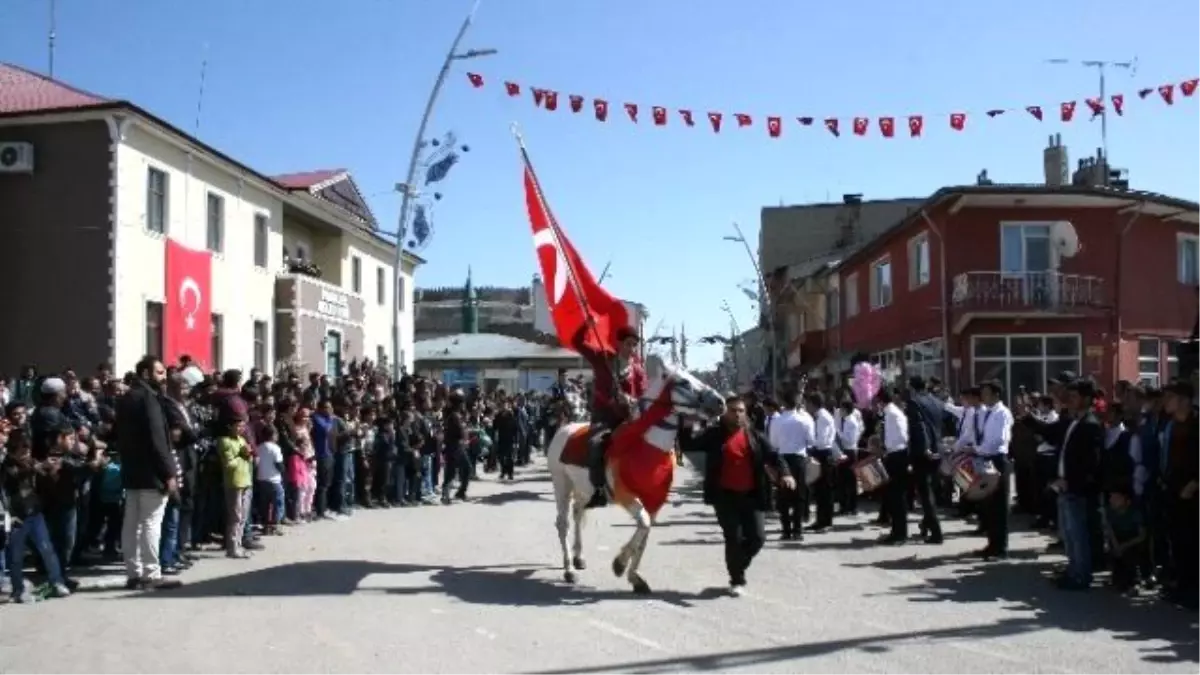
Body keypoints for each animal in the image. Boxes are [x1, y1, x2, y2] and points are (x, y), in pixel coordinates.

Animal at [544, 355, 720, 590]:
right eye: (684, 382)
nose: (720, 402)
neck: (646, 445)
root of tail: (565, 427)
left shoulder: (654, 500)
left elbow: (645, 532)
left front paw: (634, 576)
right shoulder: (625, 495)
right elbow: (643, 523)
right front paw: (619, 564)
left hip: (584, 490)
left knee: (578, 512)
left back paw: (578, 557)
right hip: (561, 483)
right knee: (563, 522)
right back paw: (569, 570)